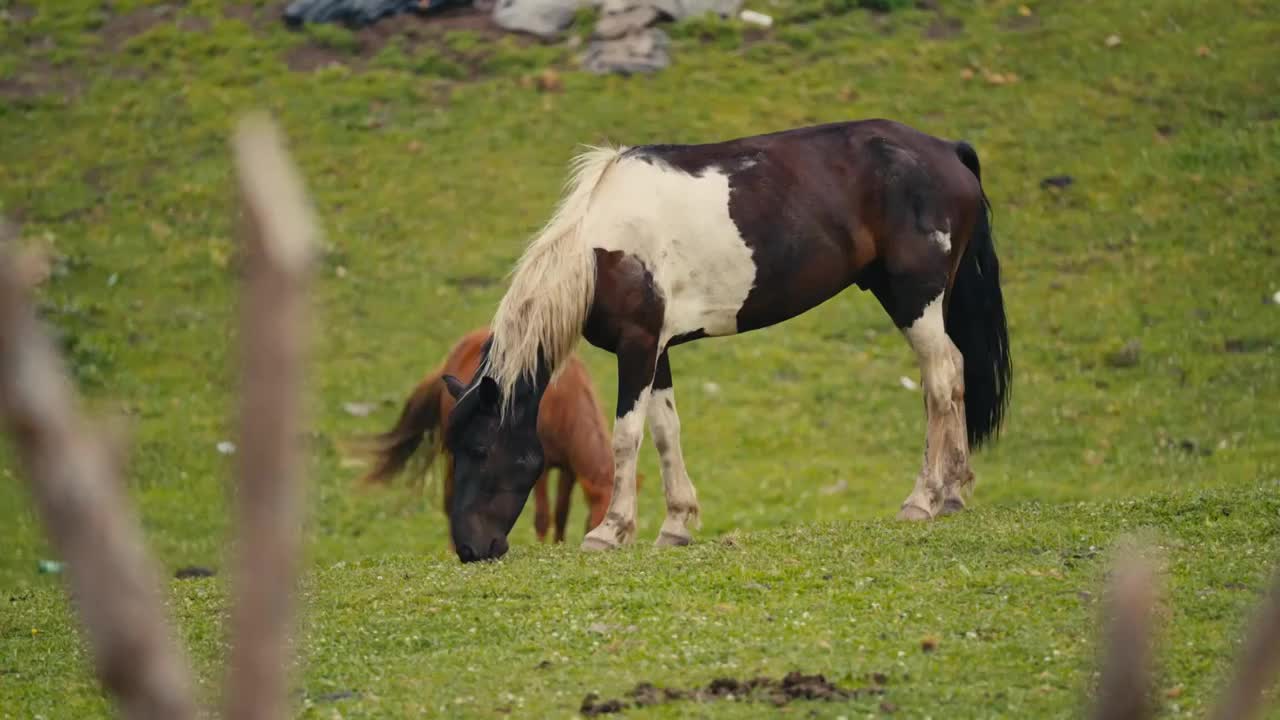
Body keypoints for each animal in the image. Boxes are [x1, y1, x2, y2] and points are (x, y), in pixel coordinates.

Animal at [360, 325, 619, 538]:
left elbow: (561, 515)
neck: (564, 401)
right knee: (450, 502)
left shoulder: (569, 469)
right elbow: (543, 518)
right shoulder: (541, 467)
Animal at [437, 119, 1008, 561]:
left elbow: (627, 437)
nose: (469, 549)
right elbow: (665, 432)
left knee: (939, 381)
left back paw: (923, 498)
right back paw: (953, 493)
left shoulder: (637, 347)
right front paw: (675, 526)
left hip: (915, 299)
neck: (601, 251)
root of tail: (945, 148)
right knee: (955, 372)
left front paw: (610, 532)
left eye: (480, 448)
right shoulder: (657, 350)